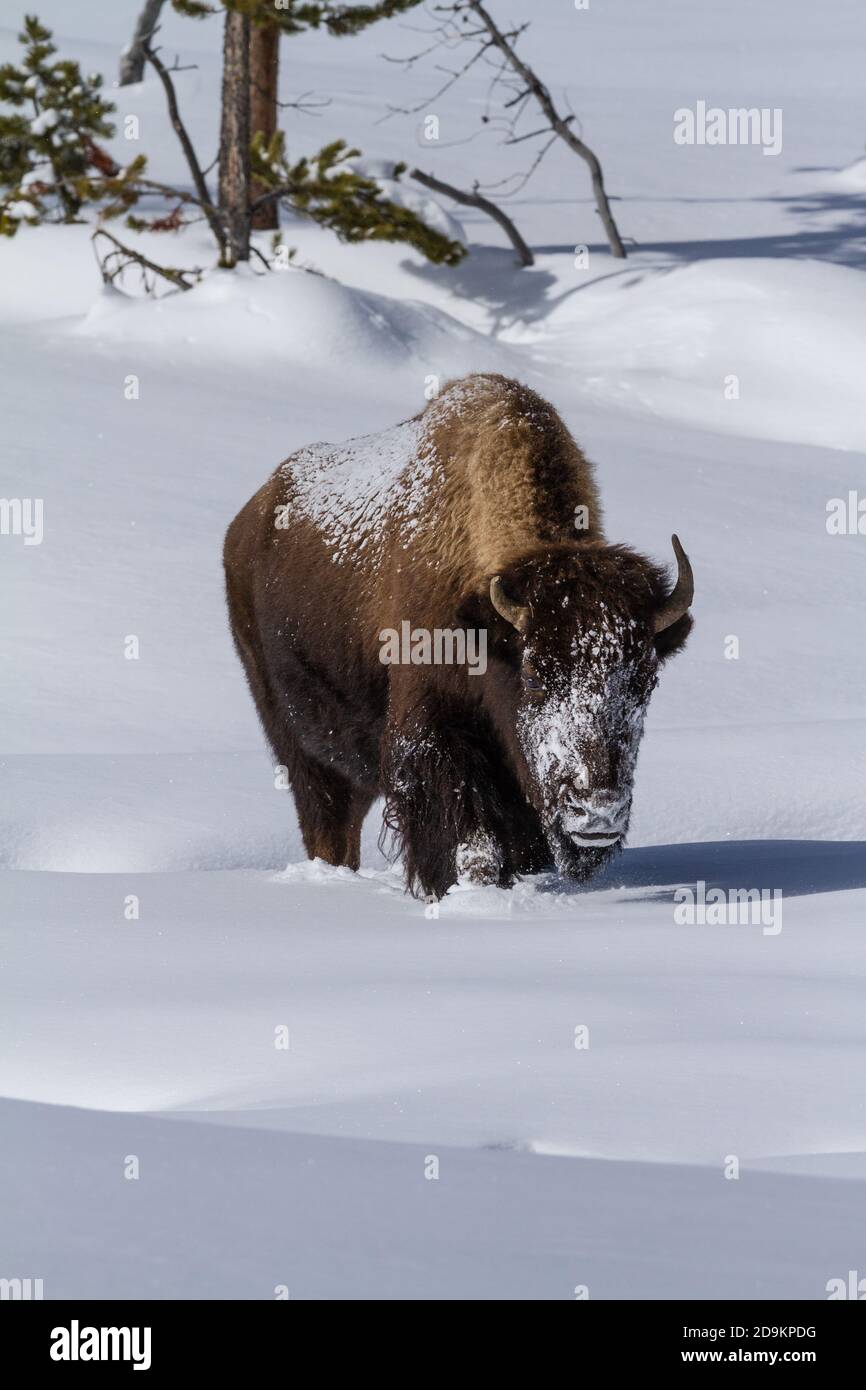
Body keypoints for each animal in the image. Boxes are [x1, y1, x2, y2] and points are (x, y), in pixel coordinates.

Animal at [224, 373, 693, 898]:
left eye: (645, 682)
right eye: (535, 676)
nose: (598, 812)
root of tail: (246, 523)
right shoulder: (432, 736)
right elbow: (470, 840)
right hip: (300, 747)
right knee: (327, 821)